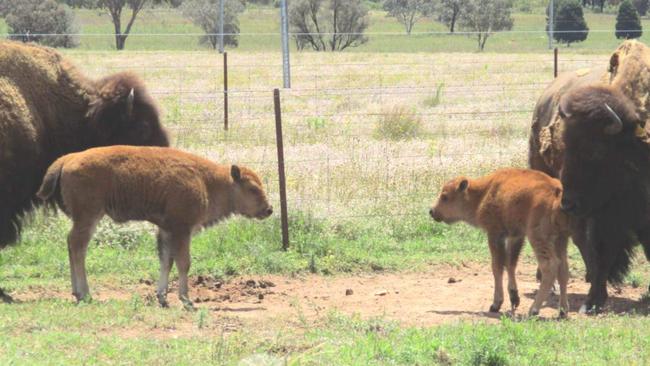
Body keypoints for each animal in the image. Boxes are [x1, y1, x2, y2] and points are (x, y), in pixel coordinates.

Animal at [36, 144, 274, 308]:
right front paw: (186, 300)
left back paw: (77, 292)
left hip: (84, 218)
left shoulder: (166, 230)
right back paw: (85, 294)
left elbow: (166, 261)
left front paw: (162, 297)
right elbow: (184, 262)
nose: (269, 209)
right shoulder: (181, 229)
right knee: (78, 246)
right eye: (252, 188)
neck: (209, 182)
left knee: (72, 245)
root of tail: (68, 159)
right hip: (88, 216)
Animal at [428, 169, 568, 318]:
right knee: (563, 268)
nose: (432, 211)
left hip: (539, 237)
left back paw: (533, 310)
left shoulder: (495, 234)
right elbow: (510, 264)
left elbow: (497, 266)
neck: (483, 192)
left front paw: (496, 304)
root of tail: (556, 190)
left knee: (550, 265)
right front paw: (514, 298)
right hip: (561, 239)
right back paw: (563, 311)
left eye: (445, 197)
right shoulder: (515, 236)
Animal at [528, 40, 648, 314]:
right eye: (565, 145)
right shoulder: (603, 217)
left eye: (596, 150)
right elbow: (602, 253)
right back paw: (553, 284)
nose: (569, 203)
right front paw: (592, 302)